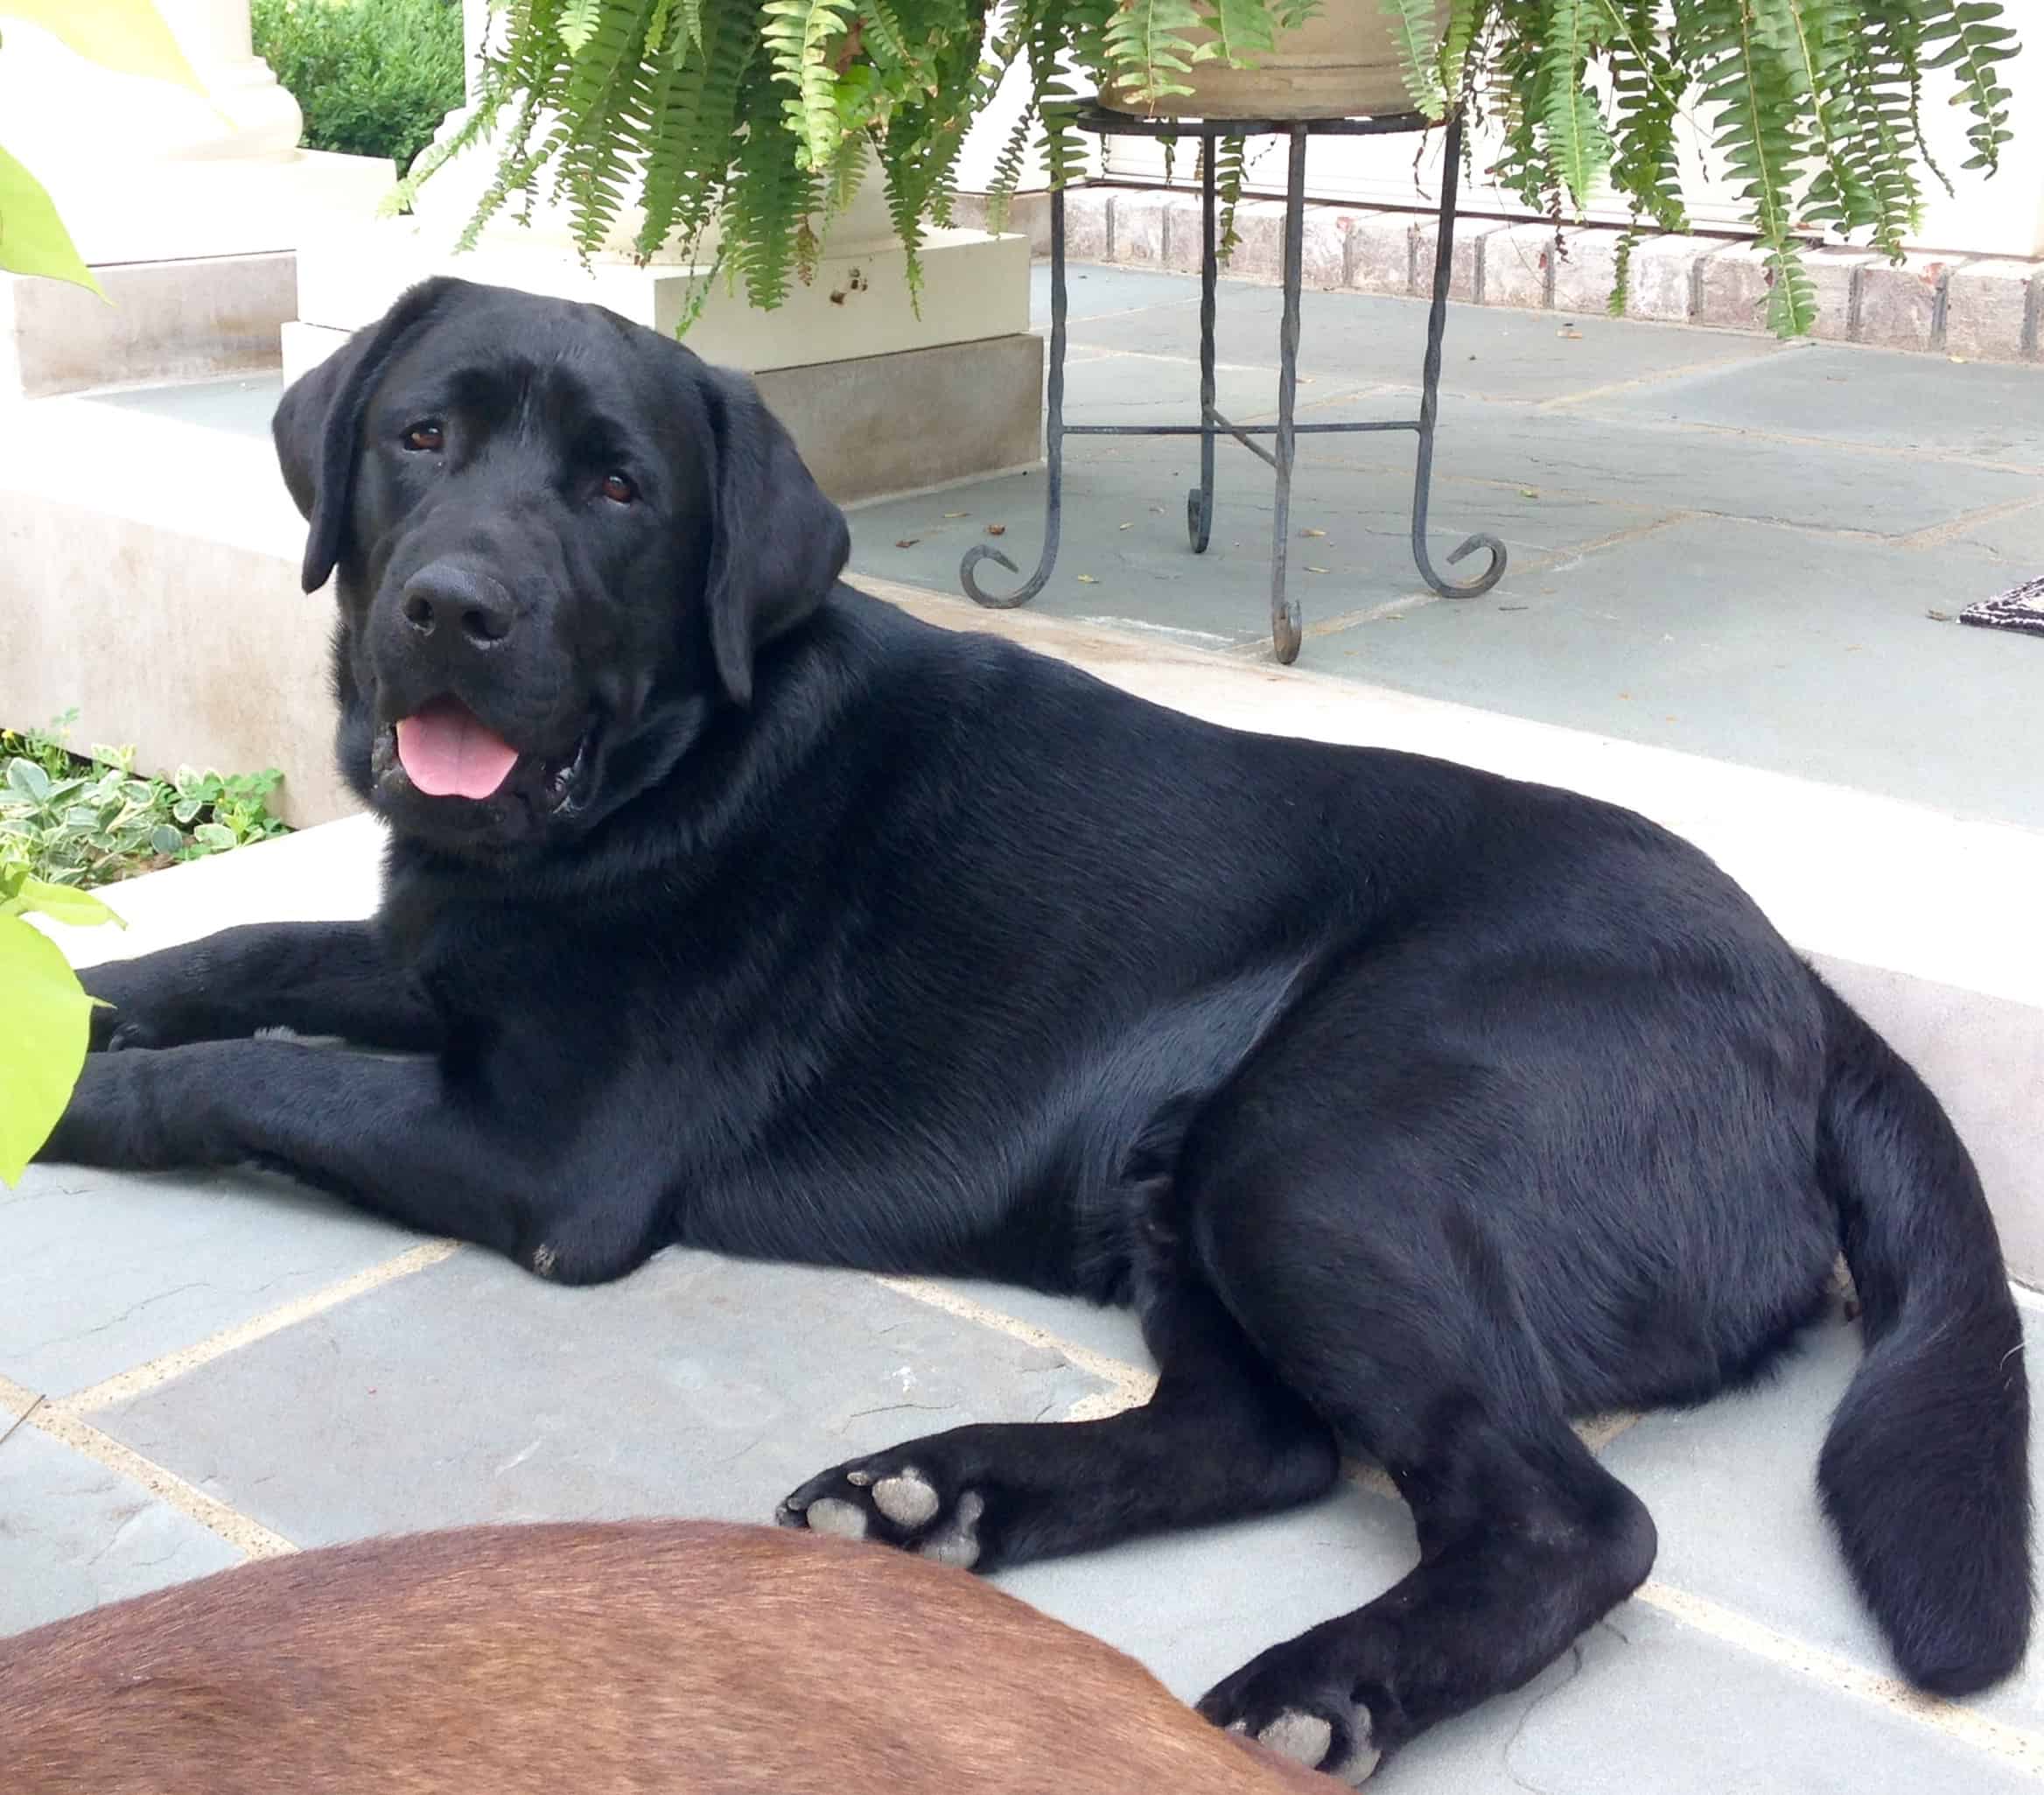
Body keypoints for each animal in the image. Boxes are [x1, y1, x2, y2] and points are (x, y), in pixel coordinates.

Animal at [44, 274, 2027, 1774]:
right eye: (420, 437)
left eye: (618, 489)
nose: (451, 608)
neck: (666, 768)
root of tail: (1811, 999)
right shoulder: (429, 954)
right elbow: (251, 953)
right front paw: (83, 1007)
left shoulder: (547, 1153)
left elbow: (250, 1076)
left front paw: (76, 1103)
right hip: (1192, 1156)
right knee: (1261, 1436)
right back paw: (936, 1499)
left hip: (1323, 1150)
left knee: (1562, 1514)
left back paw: (1320, 1685)